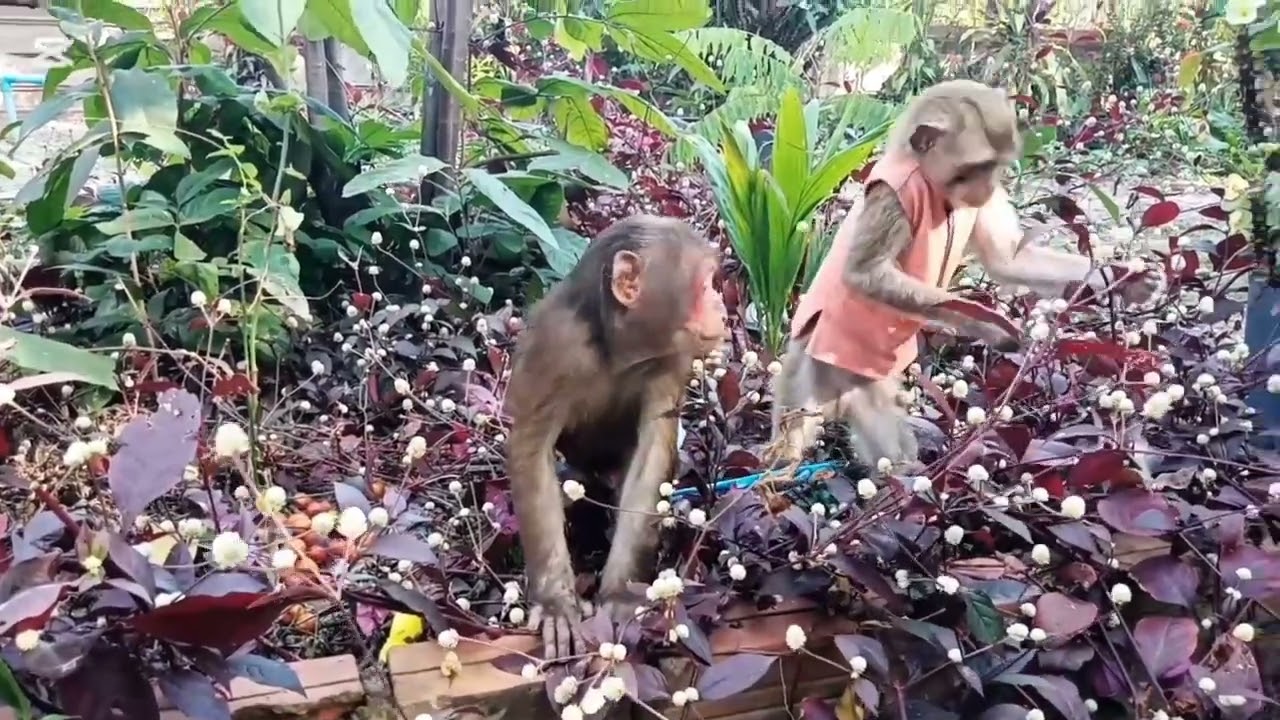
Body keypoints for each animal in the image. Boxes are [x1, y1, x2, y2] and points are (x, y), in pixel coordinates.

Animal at [503, 215, 728, 659]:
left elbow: (652, 455)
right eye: (705, 284)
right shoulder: (555, 345)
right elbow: (531, 451)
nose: (721, 303)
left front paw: (622, 594)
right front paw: (556, 604)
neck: (618, 349)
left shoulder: (669, 359)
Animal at [773, 79, 1160, 471]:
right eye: (978, 167)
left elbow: (1008, 259)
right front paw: (985, 323)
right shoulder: (893, 194)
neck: (933, 186)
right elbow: (866, 274)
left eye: (996, 168)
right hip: (810, 368)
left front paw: (1128, 279)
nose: (987, 188)